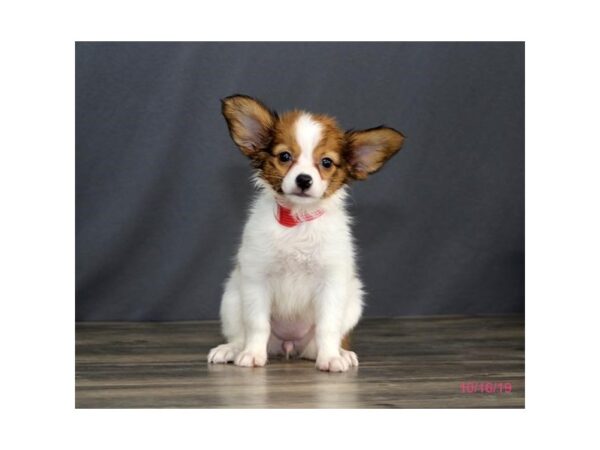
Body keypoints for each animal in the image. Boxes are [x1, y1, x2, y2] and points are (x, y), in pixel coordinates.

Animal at [206, 96, 404, 372]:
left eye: (327, 162)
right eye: (285, 156)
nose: (303, 180)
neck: (297, 223)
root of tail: (288, 344)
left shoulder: (331, 283)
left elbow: (327, 327)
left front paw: (330, 357)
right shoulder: (257, 279)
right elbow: (257, 324)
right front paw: (253, 354)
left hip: (353, 300)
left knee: (321, 341)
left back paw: (339, 353)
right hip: (232, 298)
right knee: (239, 334)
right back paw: (232, 349)